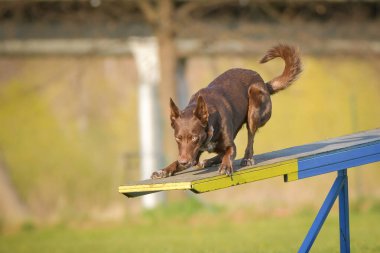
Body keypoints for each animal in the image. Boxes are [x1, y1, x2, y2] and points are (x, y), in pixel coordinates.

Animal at [151, 44, 302, 179]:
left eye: (194, 138)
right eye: (177, 138)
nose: (184, 162)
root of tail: (264, 83)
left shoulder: (230, 145)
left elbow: (229, 153)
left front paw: (225, 166)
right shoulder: (191, 154)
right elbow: (175, 163)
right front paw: (163, 170)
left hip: (254, 108)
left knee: (250, 138)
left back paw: (247, 158)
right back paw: (208, 161)